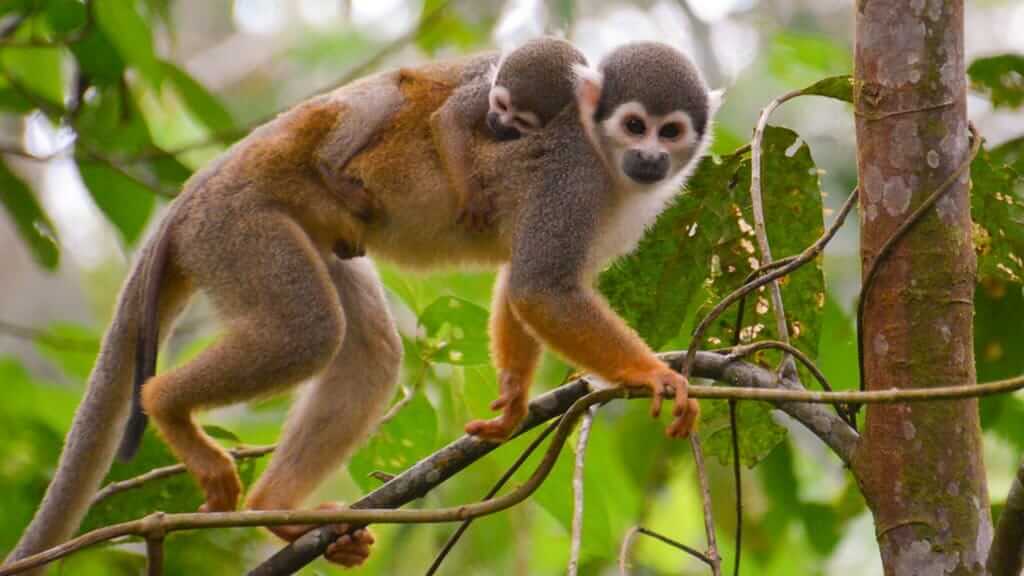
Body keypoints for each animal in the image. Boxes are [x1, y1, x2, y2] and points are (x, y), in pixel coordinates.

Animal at [430, 34, 585, 228]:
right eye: (501, 105)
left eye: (521, 121)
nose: (498, 122)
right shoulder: (487, 88)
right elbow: (451, 117)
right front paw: (472, 197)